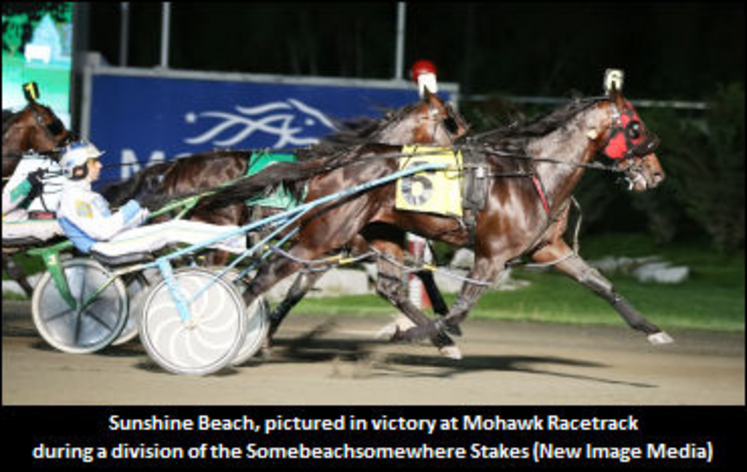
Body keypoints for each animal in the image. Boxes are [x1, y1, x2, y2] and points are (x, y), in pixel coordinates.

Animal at [188, 86, 671, 356]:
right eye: (636, 127)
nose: (656, 173)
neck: (532, 172)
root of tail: (339, 162)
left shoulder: (549, 248)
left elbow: (599, 283)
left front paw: (653, 330)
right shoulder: (491, 256)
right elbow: (461, 306)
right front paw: (426, 335)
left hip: (375, 233)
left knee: (384, 287)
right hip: (322, 237)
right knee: (265, 274)